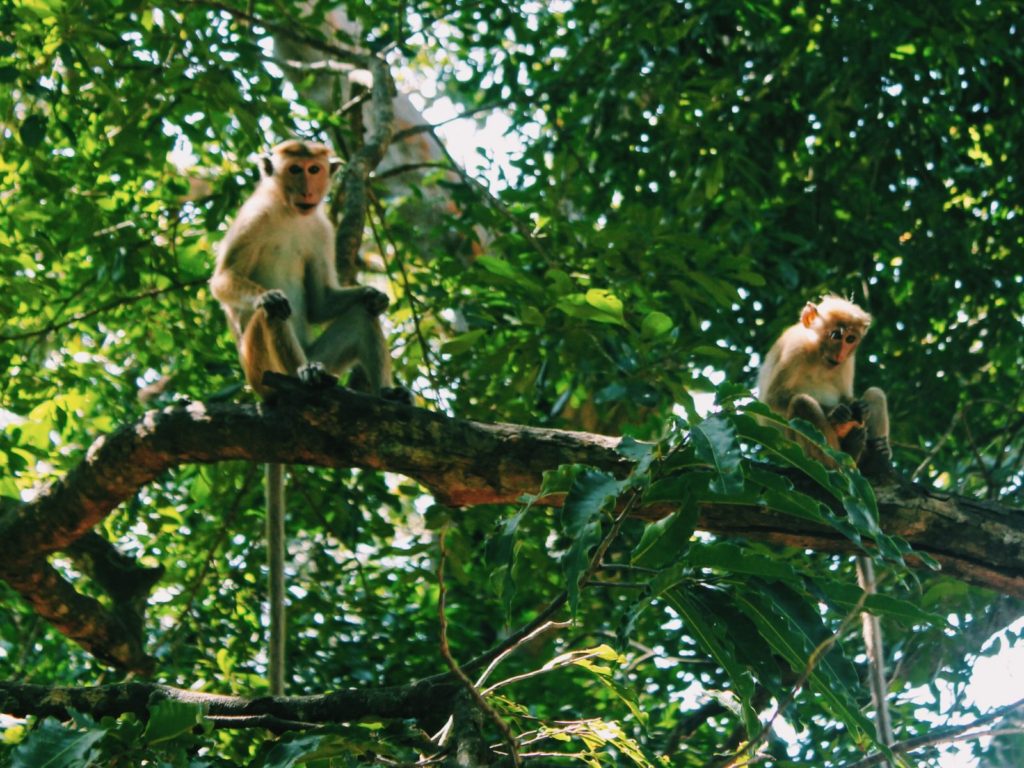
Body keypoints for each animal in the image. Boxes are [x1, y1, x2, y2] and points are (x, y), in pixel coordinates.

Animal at [210, 140, 407, 696]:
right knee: (269, 317)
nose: (308, 188)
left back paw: (384, 393)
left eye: (316, 169)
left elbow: (323, 300)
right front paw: (264, 295)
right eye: (293, 169)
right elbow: (224, 281)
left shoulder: (320, 226)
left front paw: (372, 292)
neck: (287, 213)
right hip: (258, 367)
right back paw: (305, 376)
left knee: (359, 318)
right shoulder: (252, 217)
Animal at [757, 296, 892, 761]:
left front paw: (856, 412)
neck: (820, 356)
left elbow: (859, 394)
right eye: (835, 334)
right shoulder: (793, 349)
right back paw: (839, 457)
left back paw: (872, 455)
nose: (842, 348)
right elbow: (775, 403)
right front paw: (837, 414)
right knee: (801, 405)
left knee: (873, 395)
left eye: (851, 339)